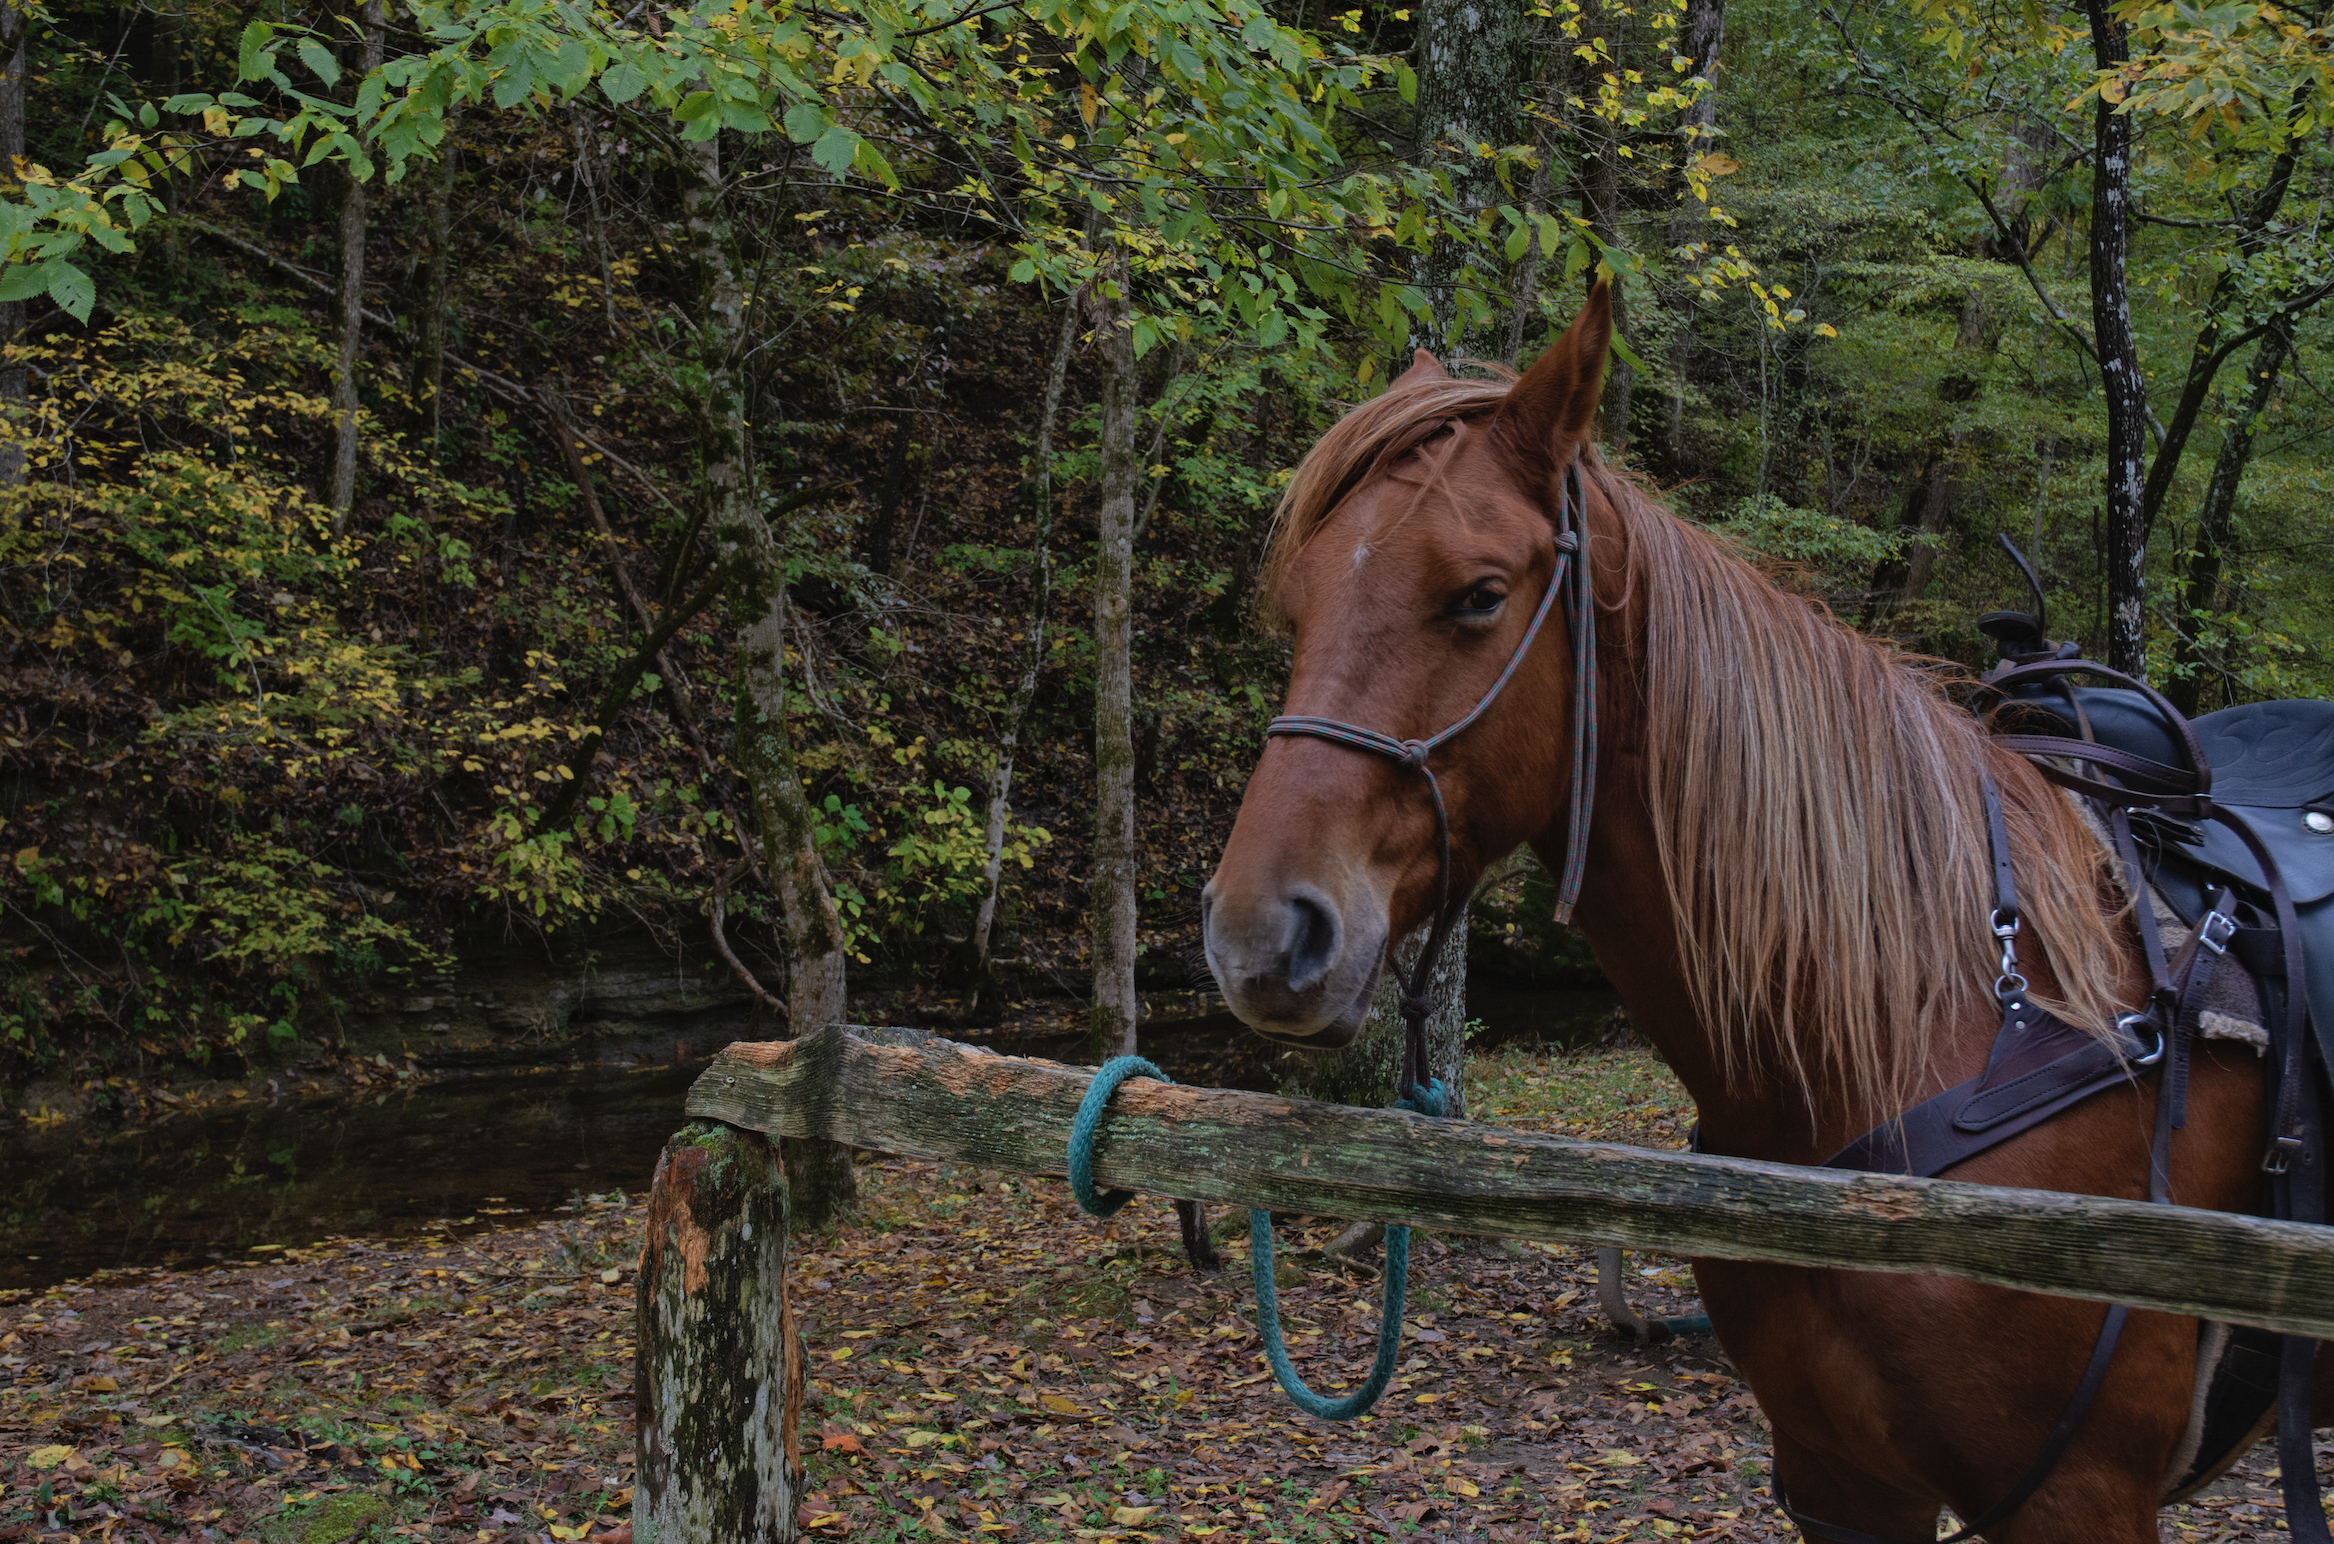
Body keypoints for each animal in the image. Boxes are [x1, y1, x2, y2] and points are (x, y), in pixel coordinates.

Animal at [1199, 283, 2332, 1542]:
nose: (1258, 933)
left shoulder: (2080, 1496)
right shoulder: (1843, 1479)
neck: (1947, 1014)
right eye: (1296, 607)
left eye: (1480, 595)